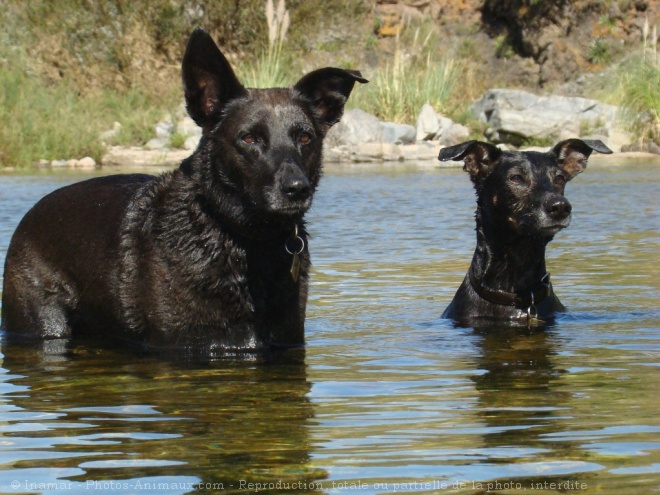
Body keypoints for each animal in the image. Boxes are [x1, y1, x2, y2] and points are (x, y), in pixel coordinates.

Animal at [0, 28, 366, 356]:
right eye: (249, 138)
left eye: (305, 137)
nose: (296, 189)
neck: (237, 239)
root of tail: (31, 214)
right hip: (43, 322)